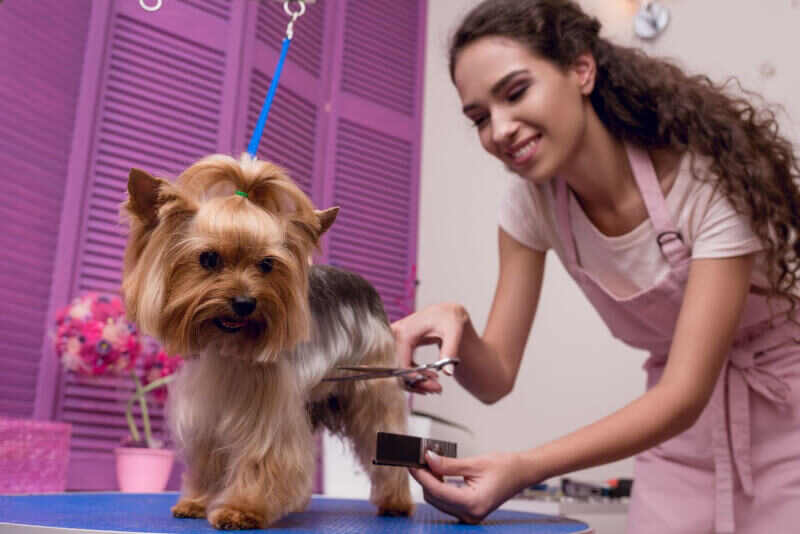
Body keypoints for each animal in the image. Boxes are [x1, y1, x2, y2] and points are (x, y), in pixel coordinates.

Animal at [122, 154, 416, 532]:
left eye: (266, 264)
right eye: (208, 259)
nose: (245, 302)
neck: (227, 347)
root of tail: (364, 285)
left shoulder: (268, 408)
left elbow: (262, 456)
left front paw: (241, 509)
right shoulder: (207, 409)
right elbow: (209, 458)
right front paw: (198, 502)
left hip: (372, 382)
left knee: (383, 436)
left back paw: (395, 501)